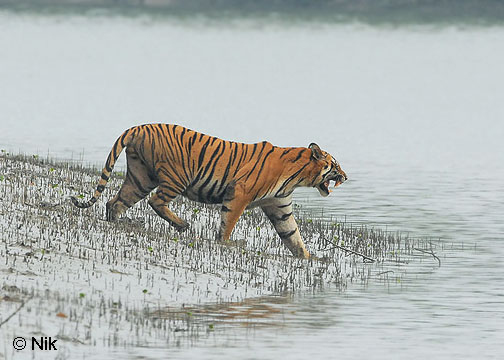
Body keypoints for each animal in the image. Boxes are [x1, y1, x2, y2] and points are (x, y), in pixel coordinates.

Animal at [70, 124, 346, 258]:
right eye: (335, 165)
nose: (345, 177)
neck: (297, 176)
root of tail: (139, 127)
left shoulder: (279, 206)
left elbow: (292, 235)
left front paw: (309, 258)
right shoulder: (239, 193)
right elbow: (228, 222)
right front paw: (226, 243)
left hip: (140, 177)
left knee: (115, 201)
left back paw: (118, 221)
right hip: (176, 177)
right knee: (156, 201)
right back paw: (182, 225)